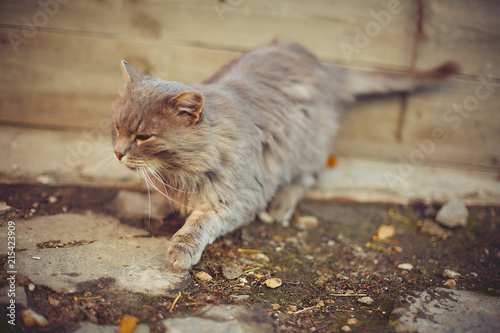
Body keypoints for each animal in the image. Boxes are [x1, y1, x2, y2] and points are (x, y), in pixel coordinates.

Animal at [111, 40, 458, 272]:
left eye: (143, 137)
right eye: (116, 128)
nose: (117, 154)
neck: (179, 172)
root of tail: (321, 64)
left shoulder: (239, 199)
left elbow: (199, 223)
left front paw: (181, 248)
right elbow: (161, 199)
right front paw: (144, 207)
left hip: (305, 150)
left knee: (307, 178)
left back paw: (281, 206)